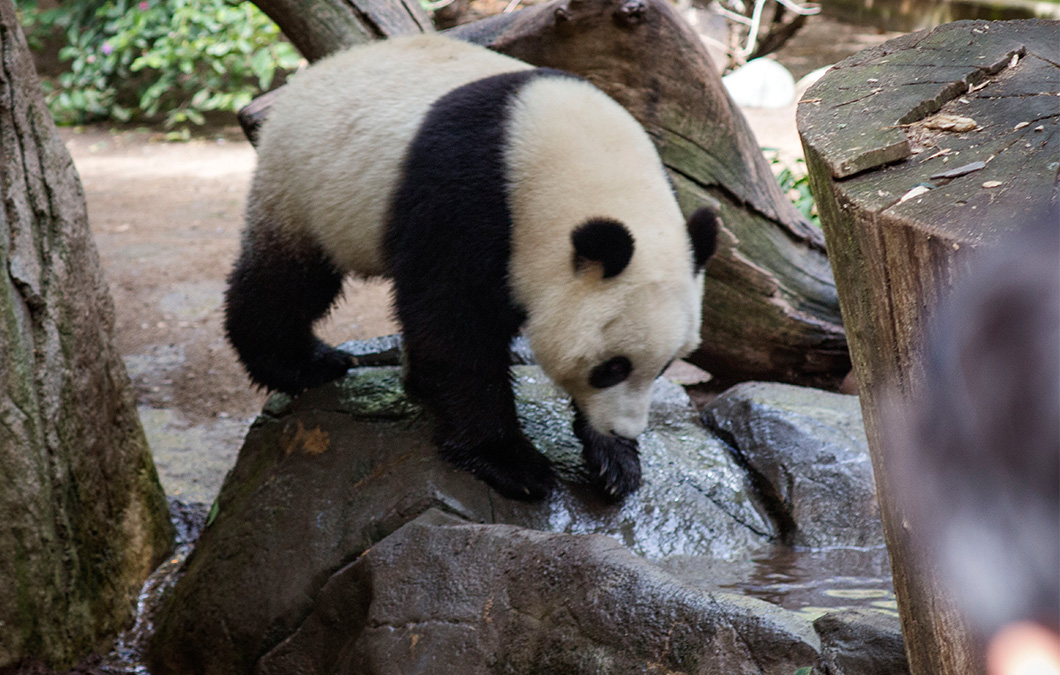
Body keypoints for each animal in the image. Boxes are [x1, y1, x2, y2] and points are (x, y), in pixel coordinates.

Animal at [224, 34, 718, 503]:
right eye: (611, 367)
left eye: (664, 366)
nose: (624, 429)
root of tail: (310, 75)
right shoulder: (471, 195)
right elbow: (455, 323)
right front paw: (513, 464)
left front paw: (615, 462)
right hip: (304, 188)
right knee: (289, 282)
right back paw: (301, 364)